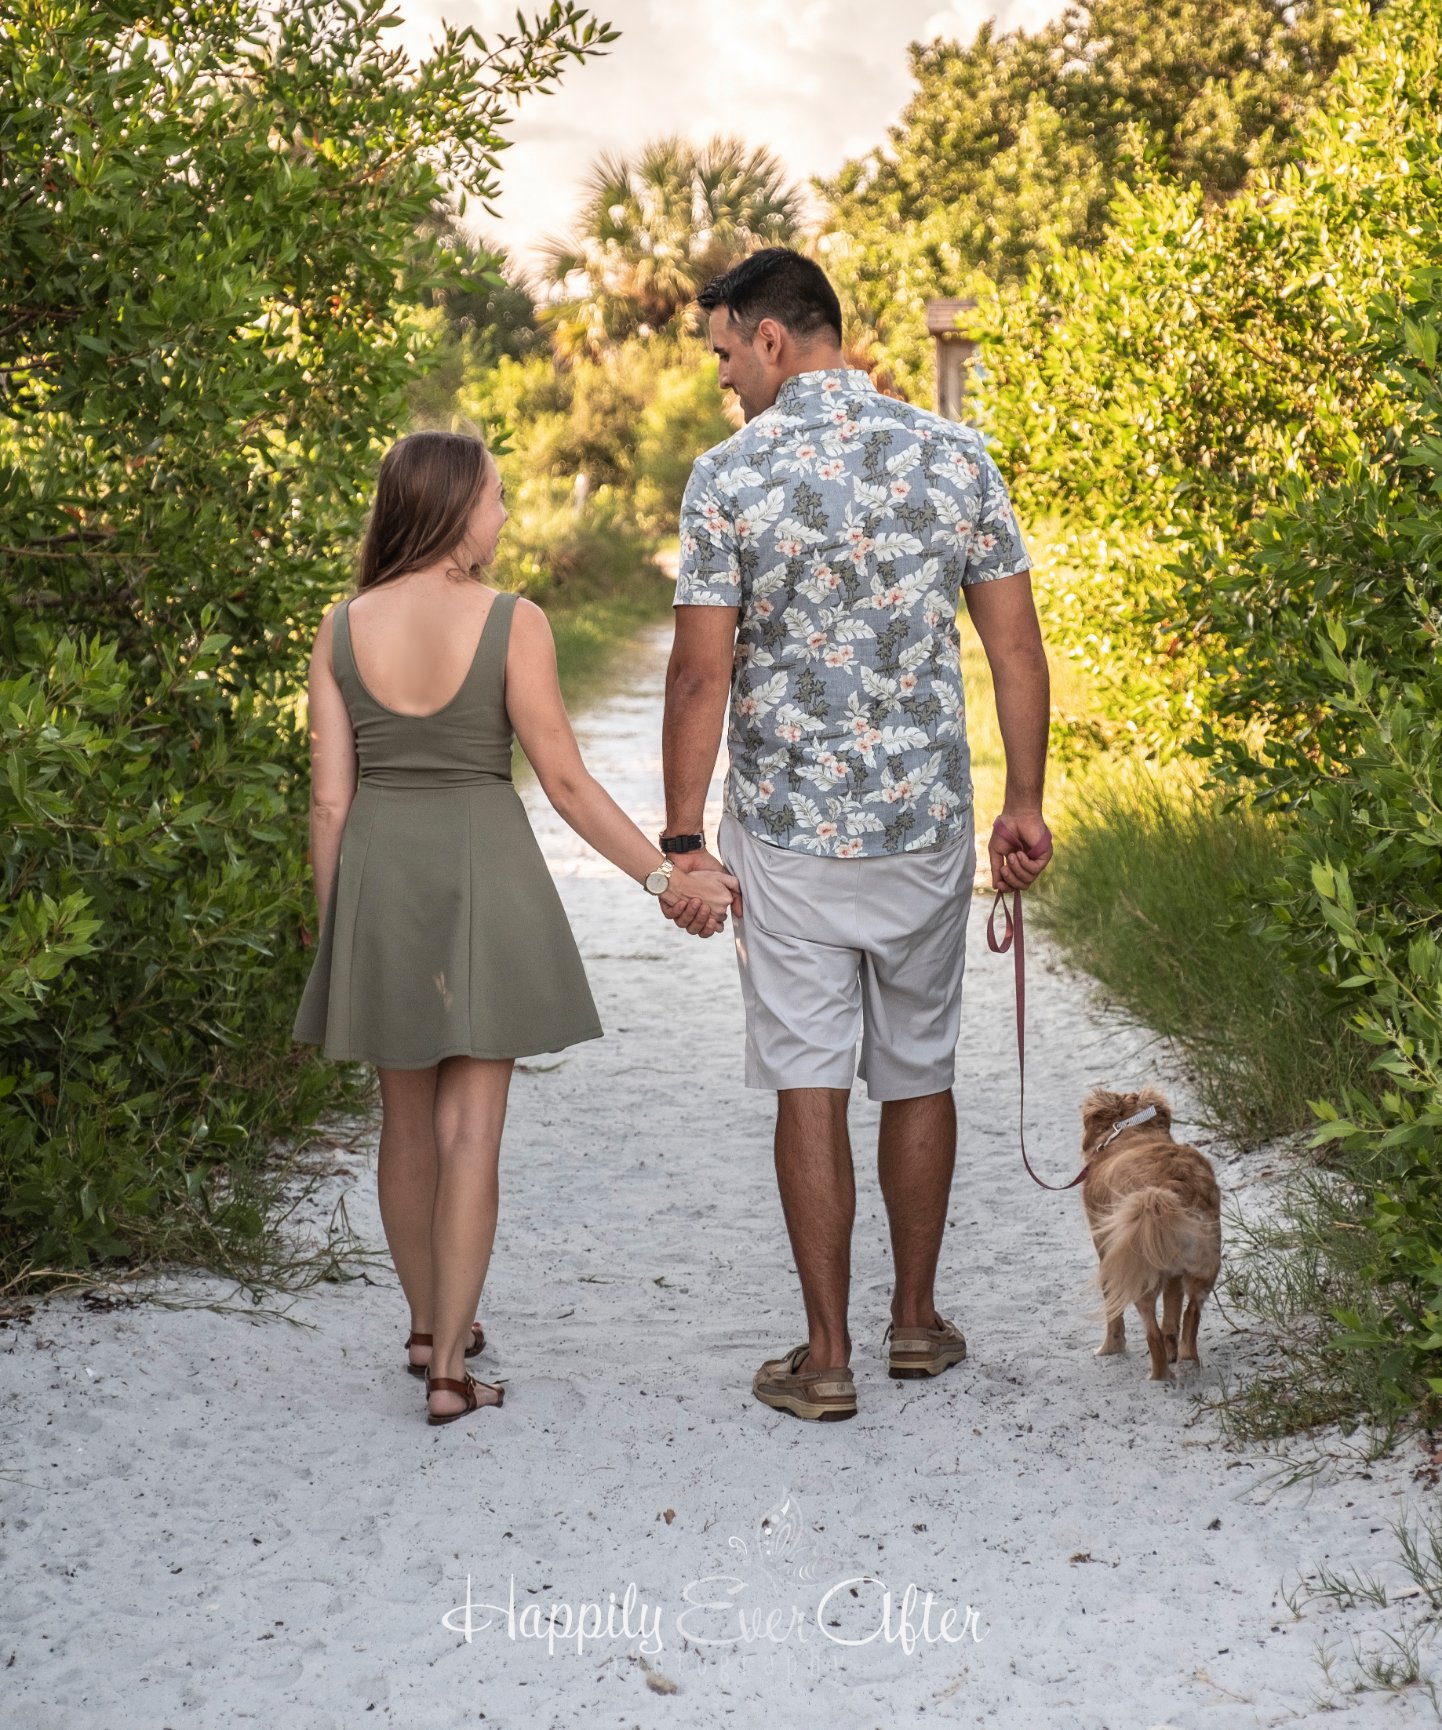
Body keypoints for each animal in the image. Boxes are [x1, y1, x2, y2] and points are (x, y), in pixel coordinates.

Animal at [1071, 1086, 1217, 1384]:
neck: (1131, 1132)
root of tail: (1166, 1186)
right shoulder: (1172, 1273)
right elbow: (1172, 1316)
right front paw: (1174, 1352)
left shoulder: (1108, 1258)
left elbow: (1114, 1314)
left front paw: (1109, 1349)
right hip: (1203, 1265)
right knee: (1190, 1314)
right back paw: (1187, 1360)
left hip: (1138, 1272)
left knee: (1152, 1333)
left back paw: (1159, 1377)